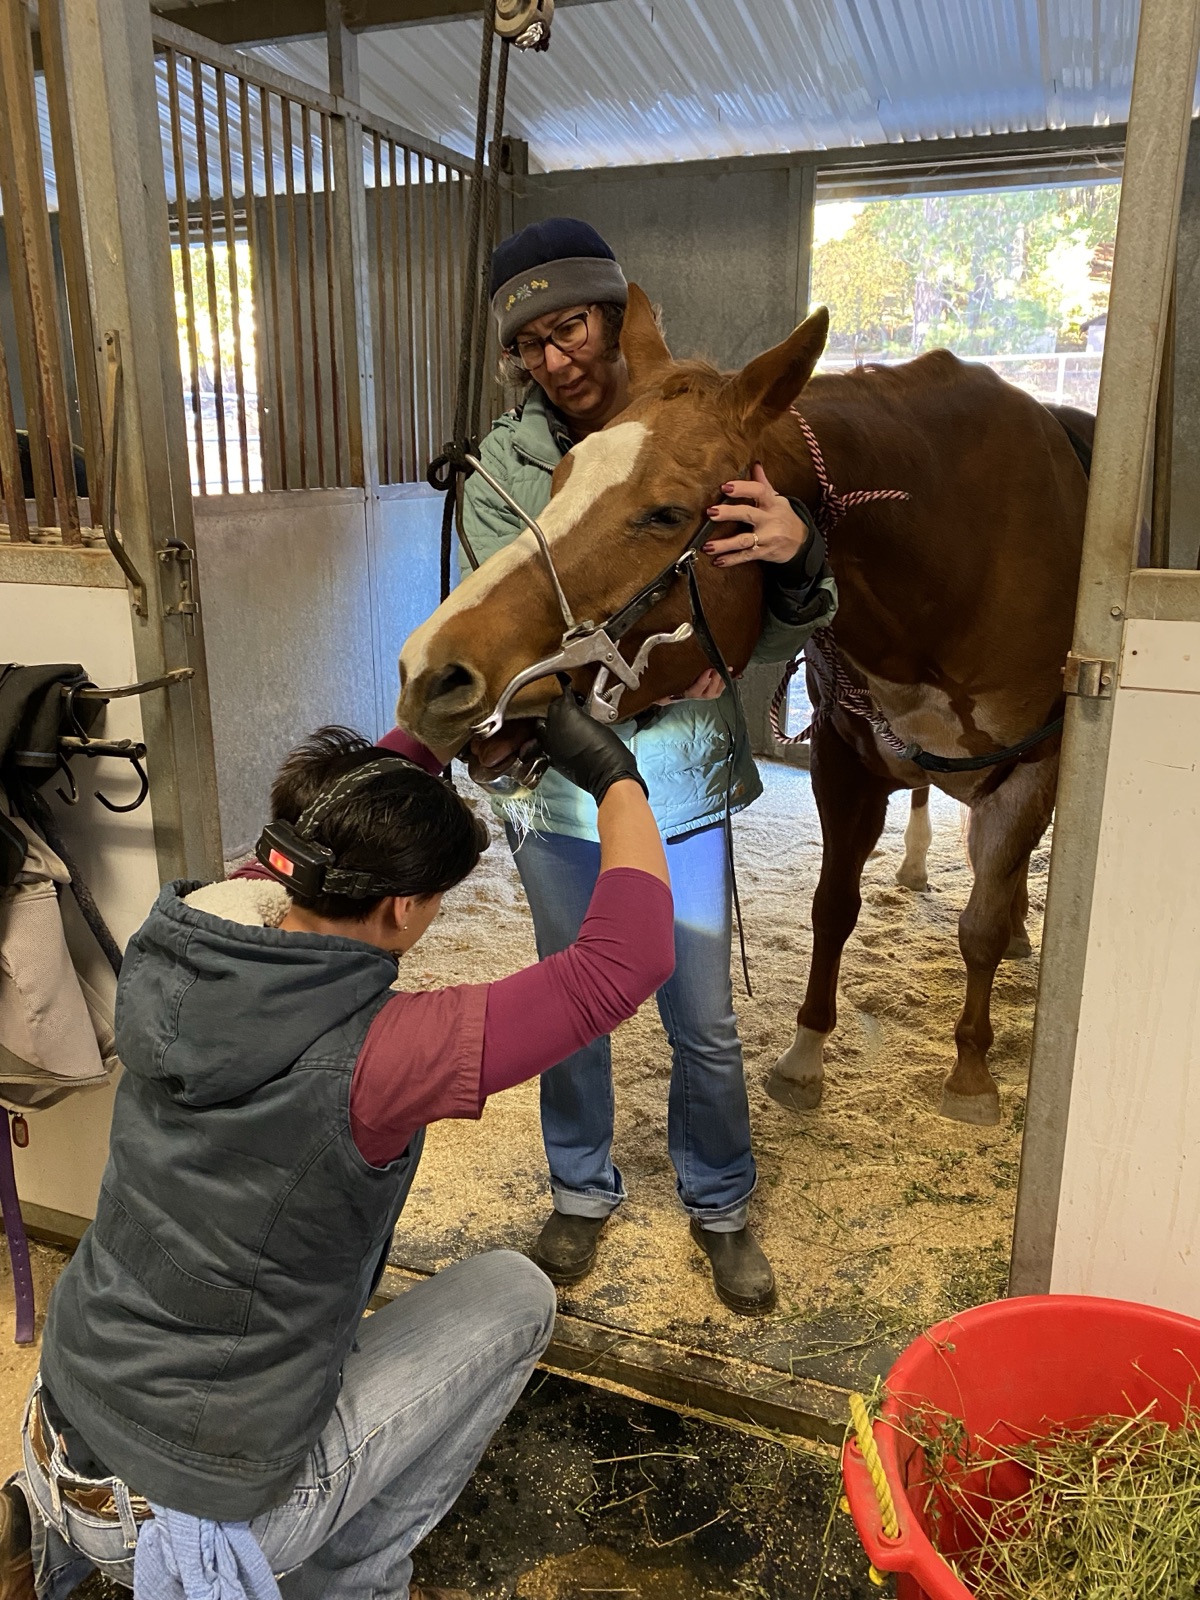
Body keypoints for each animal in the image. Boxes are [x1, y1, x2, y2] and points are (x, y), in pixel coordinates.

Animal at [398, 286, 1088, 1128]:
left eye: (665, 514)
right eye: (558, 479)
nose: (431, 672)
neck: (962, 553)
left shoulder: (1032, 772)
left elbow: (979, 927)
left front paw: (971, 1074)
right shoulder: (844, 760)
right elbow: (834, 906)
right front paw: (805, 1056)